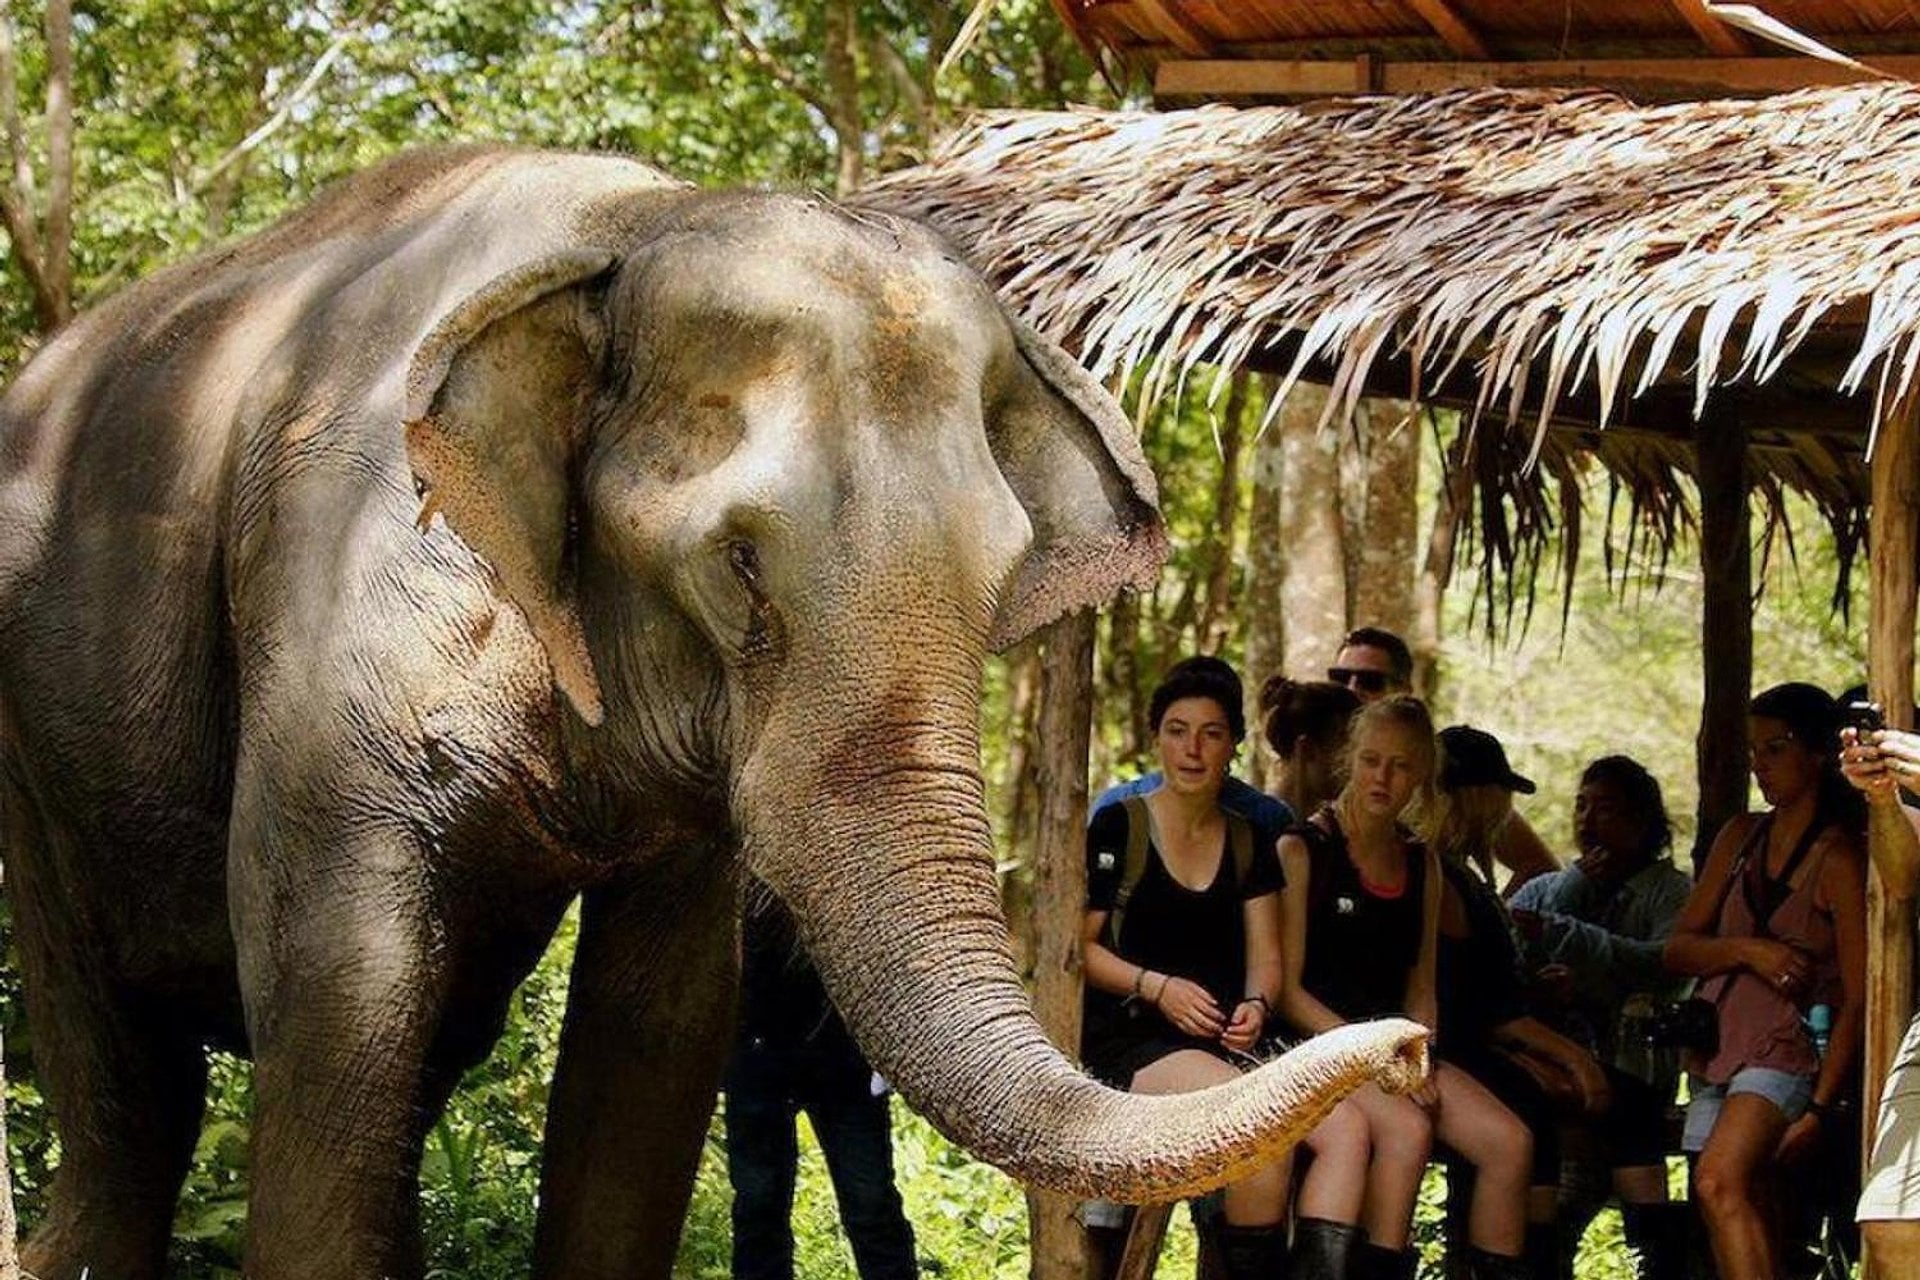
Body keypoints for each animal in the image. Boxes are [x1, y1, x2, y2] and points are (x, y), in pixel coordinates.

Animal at [0, 145, 1427, 1280]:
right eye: (739, 564)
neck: (633, 225)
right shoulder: (330, 623)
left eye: (1002, 579)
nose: (1414, 1046)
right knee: (136, 1093)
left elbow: (658, 1033)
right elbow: (341, 990)